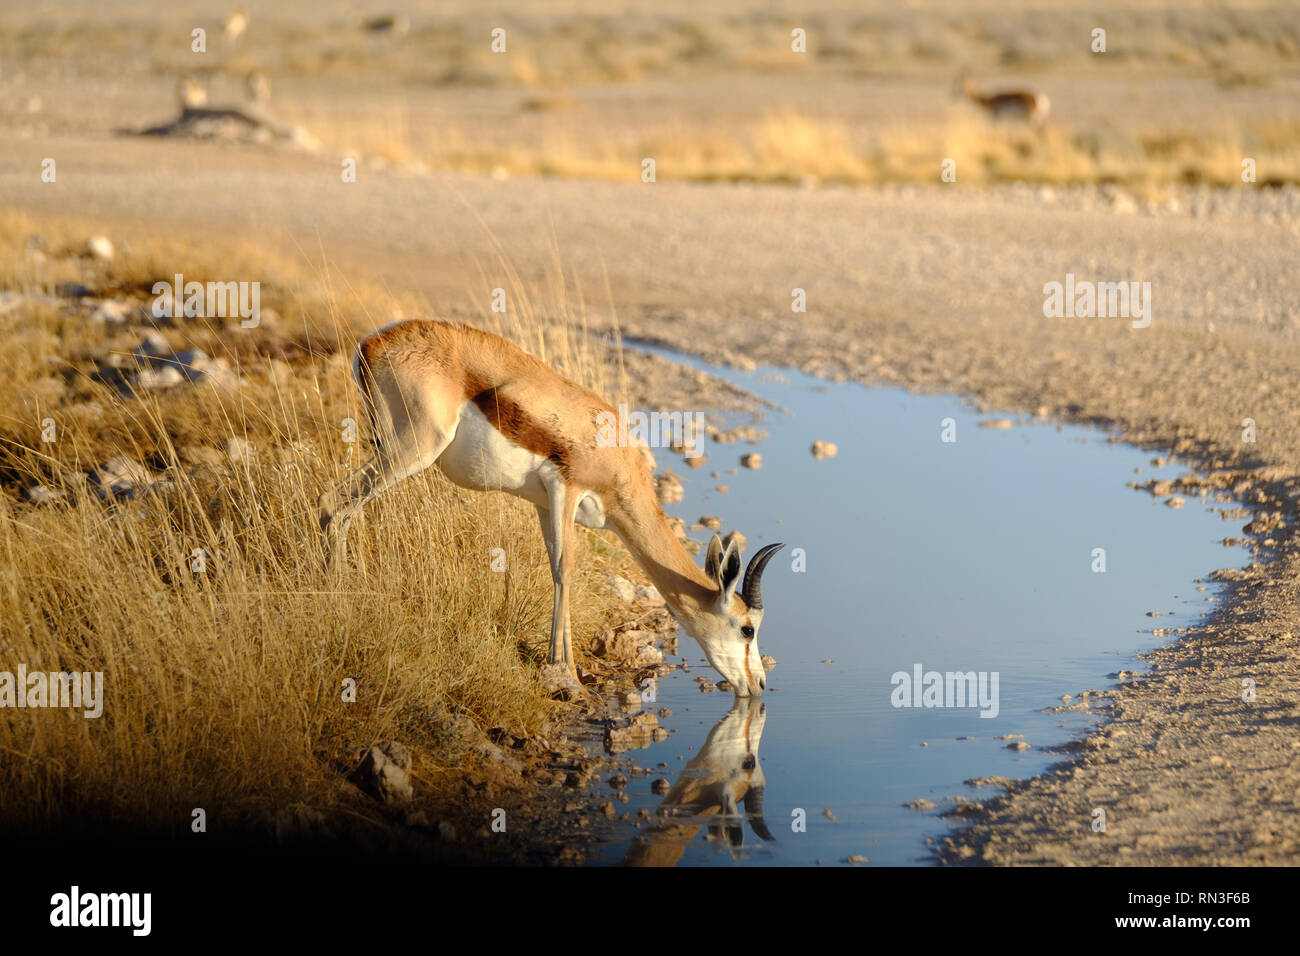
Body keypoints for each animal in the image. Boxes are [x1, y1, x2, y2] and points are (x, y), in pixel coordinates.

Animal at [317, 321, 780, 697]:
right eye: (747, 628)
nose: (758, 685)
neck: (615, 456)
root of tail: (372, 342)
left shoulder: (544, 503)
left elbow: (556, 565)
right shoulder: (566, 488)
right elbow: (565, 567)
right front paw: (566, 671)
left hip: (387, 448)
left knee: (341, 507)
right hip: (411, 449)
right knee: (331, 503)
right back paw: (339, 601)